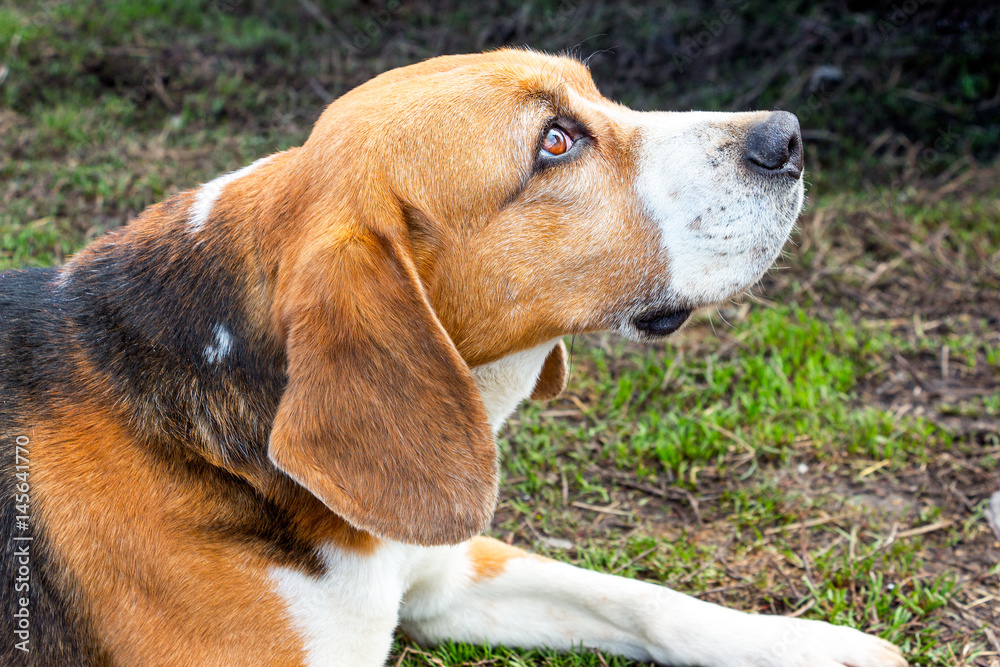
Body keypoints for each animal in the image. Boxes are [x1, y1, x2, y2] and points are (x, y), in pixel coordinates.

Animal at [1, 49, 908, 664]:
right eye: (554, 143)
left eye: (596, 93)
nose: (787, 135)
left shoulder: (446, 571)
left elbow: (640, 598)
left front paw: (810, 644)